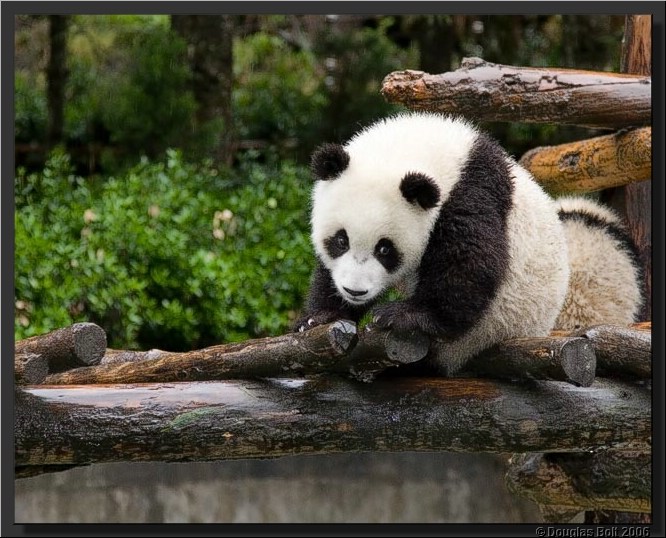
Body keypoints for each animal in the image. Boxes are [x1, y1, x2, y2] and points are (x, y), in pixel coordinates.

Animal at [295, 112, 643, 375]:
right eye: (340, 240)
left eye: (385, 249)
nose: (355, 291)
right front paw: (320, 316)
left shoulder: (473, 192)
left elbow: (471, 265)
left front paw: (400, 314)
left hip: (489, 331)